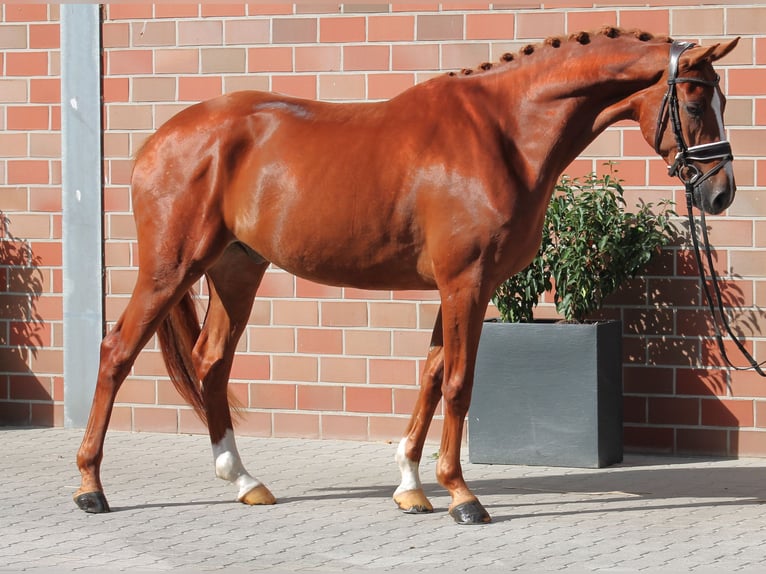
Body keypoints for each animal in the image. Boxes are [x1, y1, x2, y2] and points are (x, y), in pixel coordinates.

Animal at [74, 28, 739, 525]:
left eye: (720, 101)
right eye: (696, 102)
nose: (722, 193)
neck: (504, 134)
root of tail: (158, 141)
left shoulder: (459, 286)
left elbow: (431, 375)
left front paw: (412, 487)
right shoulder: (467, 281)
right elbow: (459, 384)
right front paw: (462, 496)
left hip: (237, 268)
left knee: (211, 362)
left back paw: (243, 480)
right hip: (170, 268)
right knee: (116, 352)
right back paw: (90, 487)